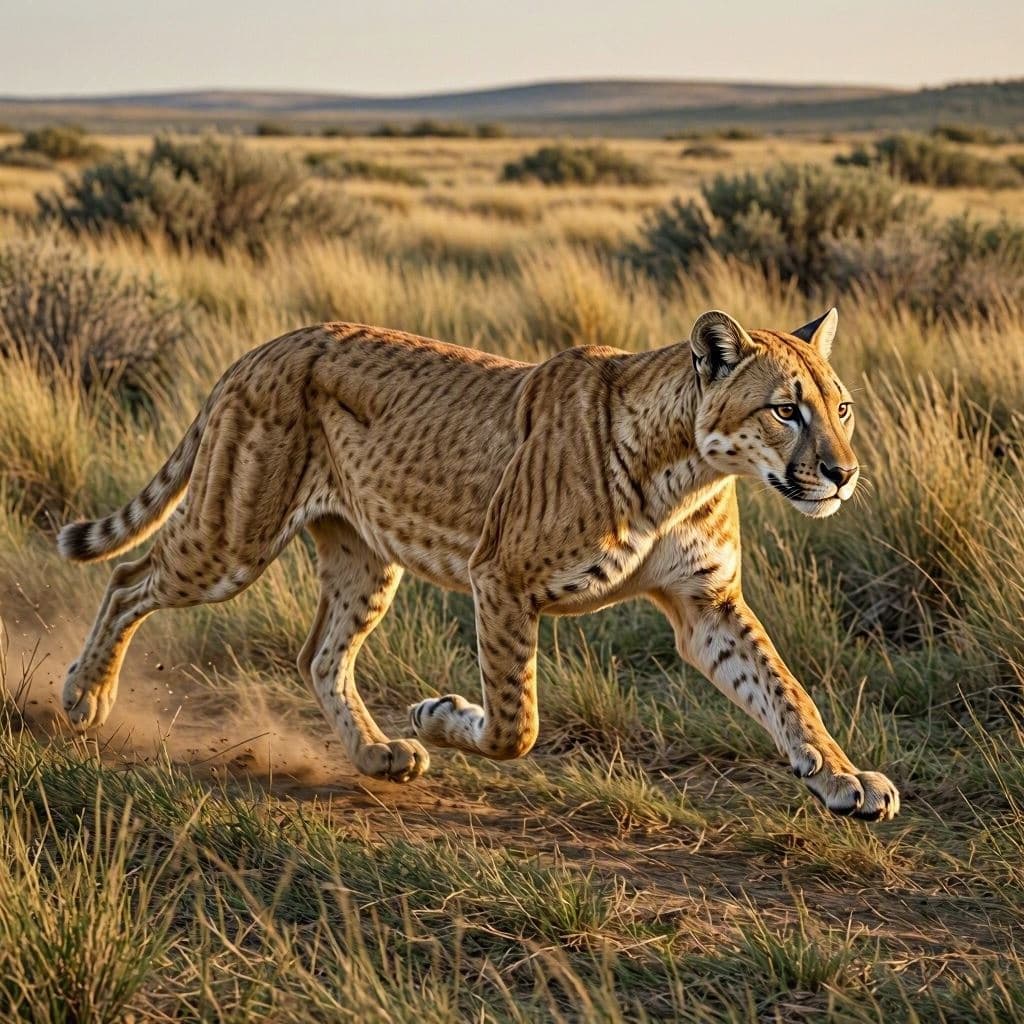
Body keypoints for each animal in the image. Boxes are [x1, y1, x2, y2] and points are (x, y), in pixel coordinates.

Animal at [58, 307, 900, 822]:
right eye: (784, 410)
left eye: (842, 408)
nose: (844, 474)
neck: (689, 466)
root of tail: (270, 342)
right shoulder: (501, 580)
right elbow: (515, 725)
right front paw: (441, 715)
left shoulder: (705, 605)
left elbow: (783, 690)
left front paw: (841, 778)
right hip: (231, 541)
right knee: (127, 580)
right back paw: (83, 696)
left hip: (363, 556)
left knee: (320, 654)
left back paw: (376, 754)